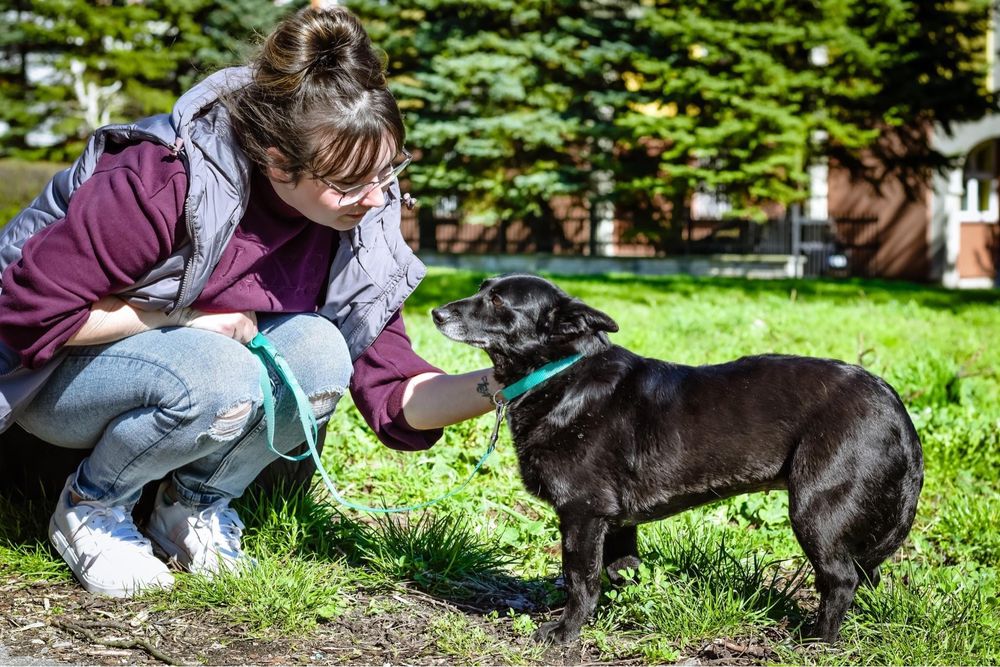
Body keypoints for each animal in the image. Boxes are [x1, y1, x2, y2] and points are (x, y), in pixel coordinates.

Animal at [434, 274, 924, 644]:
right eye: (482, 288)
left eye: (497, 301)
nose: (436, 313)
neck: (561, 373)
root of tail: (894, 403)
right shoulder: (616, 522)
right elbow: (620, 575)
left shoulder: (582, 514)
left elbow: (580, 580)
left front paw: (565, 632)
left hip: (815, 509)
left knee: (841, 580)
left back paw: (814, 642)